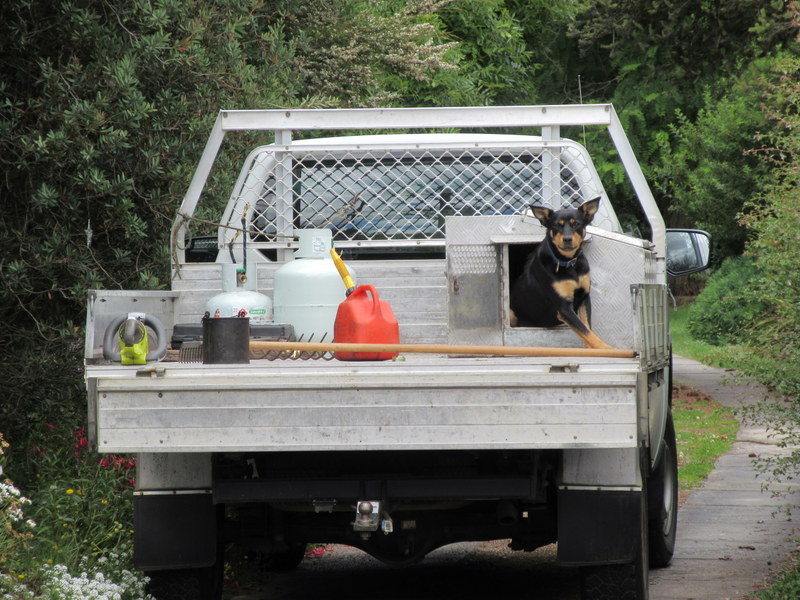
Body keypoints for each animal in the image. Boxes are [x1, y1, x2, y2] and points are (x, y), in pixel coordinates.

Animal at [509, 197, 612, 350]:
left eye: (576, 224)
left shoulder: (584, 297)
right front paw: (606, 348)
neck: (568, 263)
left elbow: (587, 328)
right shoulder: (563, 307)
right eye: (557, 225)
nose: (567, 239)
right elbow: (586, 331)